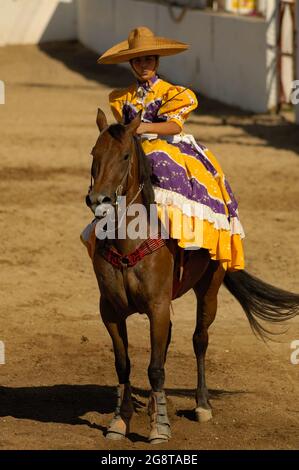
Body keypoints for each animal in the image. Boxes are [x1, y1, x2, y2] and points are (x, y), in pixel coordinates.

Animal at [85, 110, 299, 444]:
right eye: (94, 153)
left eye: (124, 156)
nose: (99, 200)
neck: (128, 242)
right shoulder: (109, 310)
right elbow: (123, 364)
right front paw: (120, 420)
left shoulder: (158, 307)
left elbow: (155, 368)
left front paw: (159, 428)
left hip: (209, 288)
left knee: (200, 339)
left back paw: (201, 405)